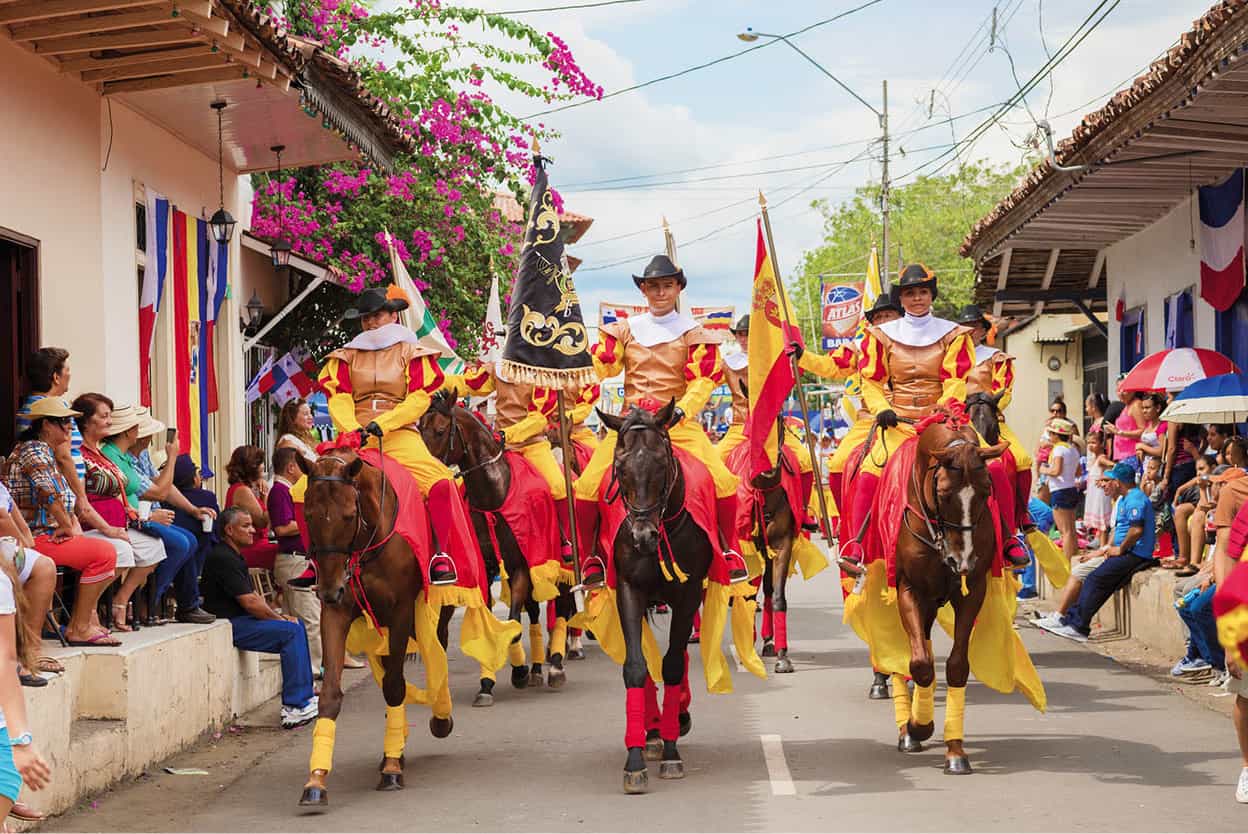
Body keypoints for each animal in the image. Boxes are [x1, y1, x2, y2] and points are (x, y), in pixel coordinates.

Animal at [294, 449, 451, 809]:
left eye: (349, 515)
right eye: (308, 515)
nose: (328, 589)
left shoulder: (402, 611)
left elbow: (394, 686)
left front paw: (392, 768)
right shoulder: (337, 612)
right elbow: (330, 694)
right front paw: (316, 780)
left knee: (437, 658)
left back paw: (439, 719)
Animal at [419, 387, 574, 699]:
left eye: (440, 430)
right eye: (420, 428)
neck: (495, 494)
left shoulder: (522, 566)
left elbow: (513, 624)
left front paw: (518, 671)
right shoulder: (487, 567)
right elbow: (491, 625)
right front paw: (489, 682)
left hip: (560, 565)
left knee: (561, 609)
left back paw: (555, 666)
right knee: (535, 612)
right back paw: (536, 669)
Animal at [596, 399, 713, 794]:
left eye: (662, 463)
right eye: (620, 466)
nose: (642, 536)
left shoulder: (689, 591)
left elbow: (674, 663)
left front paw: (672, 752)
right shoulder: (629, 590)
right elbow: (636, 666)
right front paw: (635, 760)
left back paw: (676, 718)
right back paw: (653, 730)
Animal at [888, 417, 1003, 774]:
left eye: (986, 491)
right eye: (943, 493)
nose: (961, 561)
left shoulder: (972, 590)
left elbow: (956, 666)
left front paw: (955, 750)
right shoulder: (908, 589)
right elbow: (919, 663)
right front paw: (917, 726)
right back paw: (906, 728)